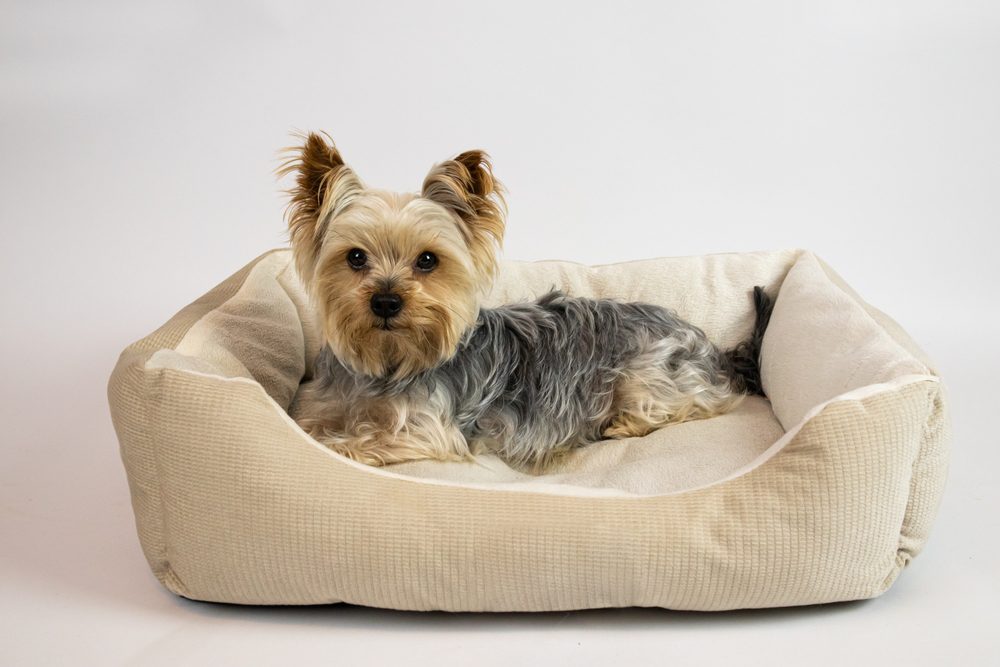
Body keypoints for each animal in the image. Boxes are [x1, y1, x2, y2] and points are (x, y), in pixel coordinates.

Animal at [282, 133, 772, 470]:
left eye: (427, 260)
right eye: (355, 257)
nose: (386, 302)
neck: (388, 361)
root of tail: (709, 345)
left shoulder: (427, 431)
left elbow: (354, 442)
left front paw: (337, 444)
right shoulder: (326, 405)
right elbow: (312, 426)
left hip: (645, 372)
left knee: (699, 403)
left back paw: (625, 423)